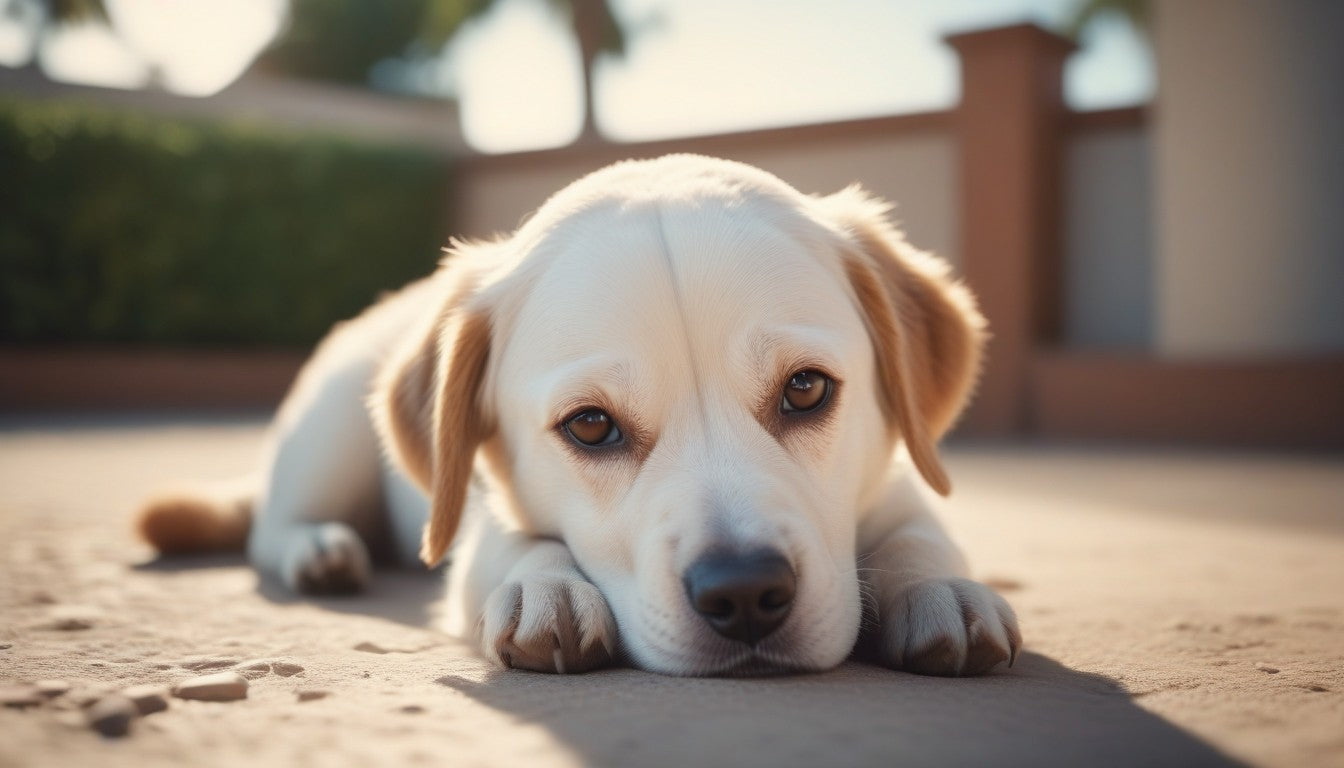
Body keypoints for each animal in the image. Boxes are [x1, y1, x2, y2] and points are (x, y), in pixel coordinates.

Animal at [139, 154, 1016, 677]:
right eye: (590, 426)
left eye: (806, 390)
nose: (744, 594)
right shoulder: (475, 525)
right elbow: (516, 543)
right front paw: (547, 587)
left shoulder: (893, 485)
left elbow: (919, 532)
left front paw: (940, 586)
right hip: (327, 441)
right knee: (271, 528)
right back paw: (320, 549)